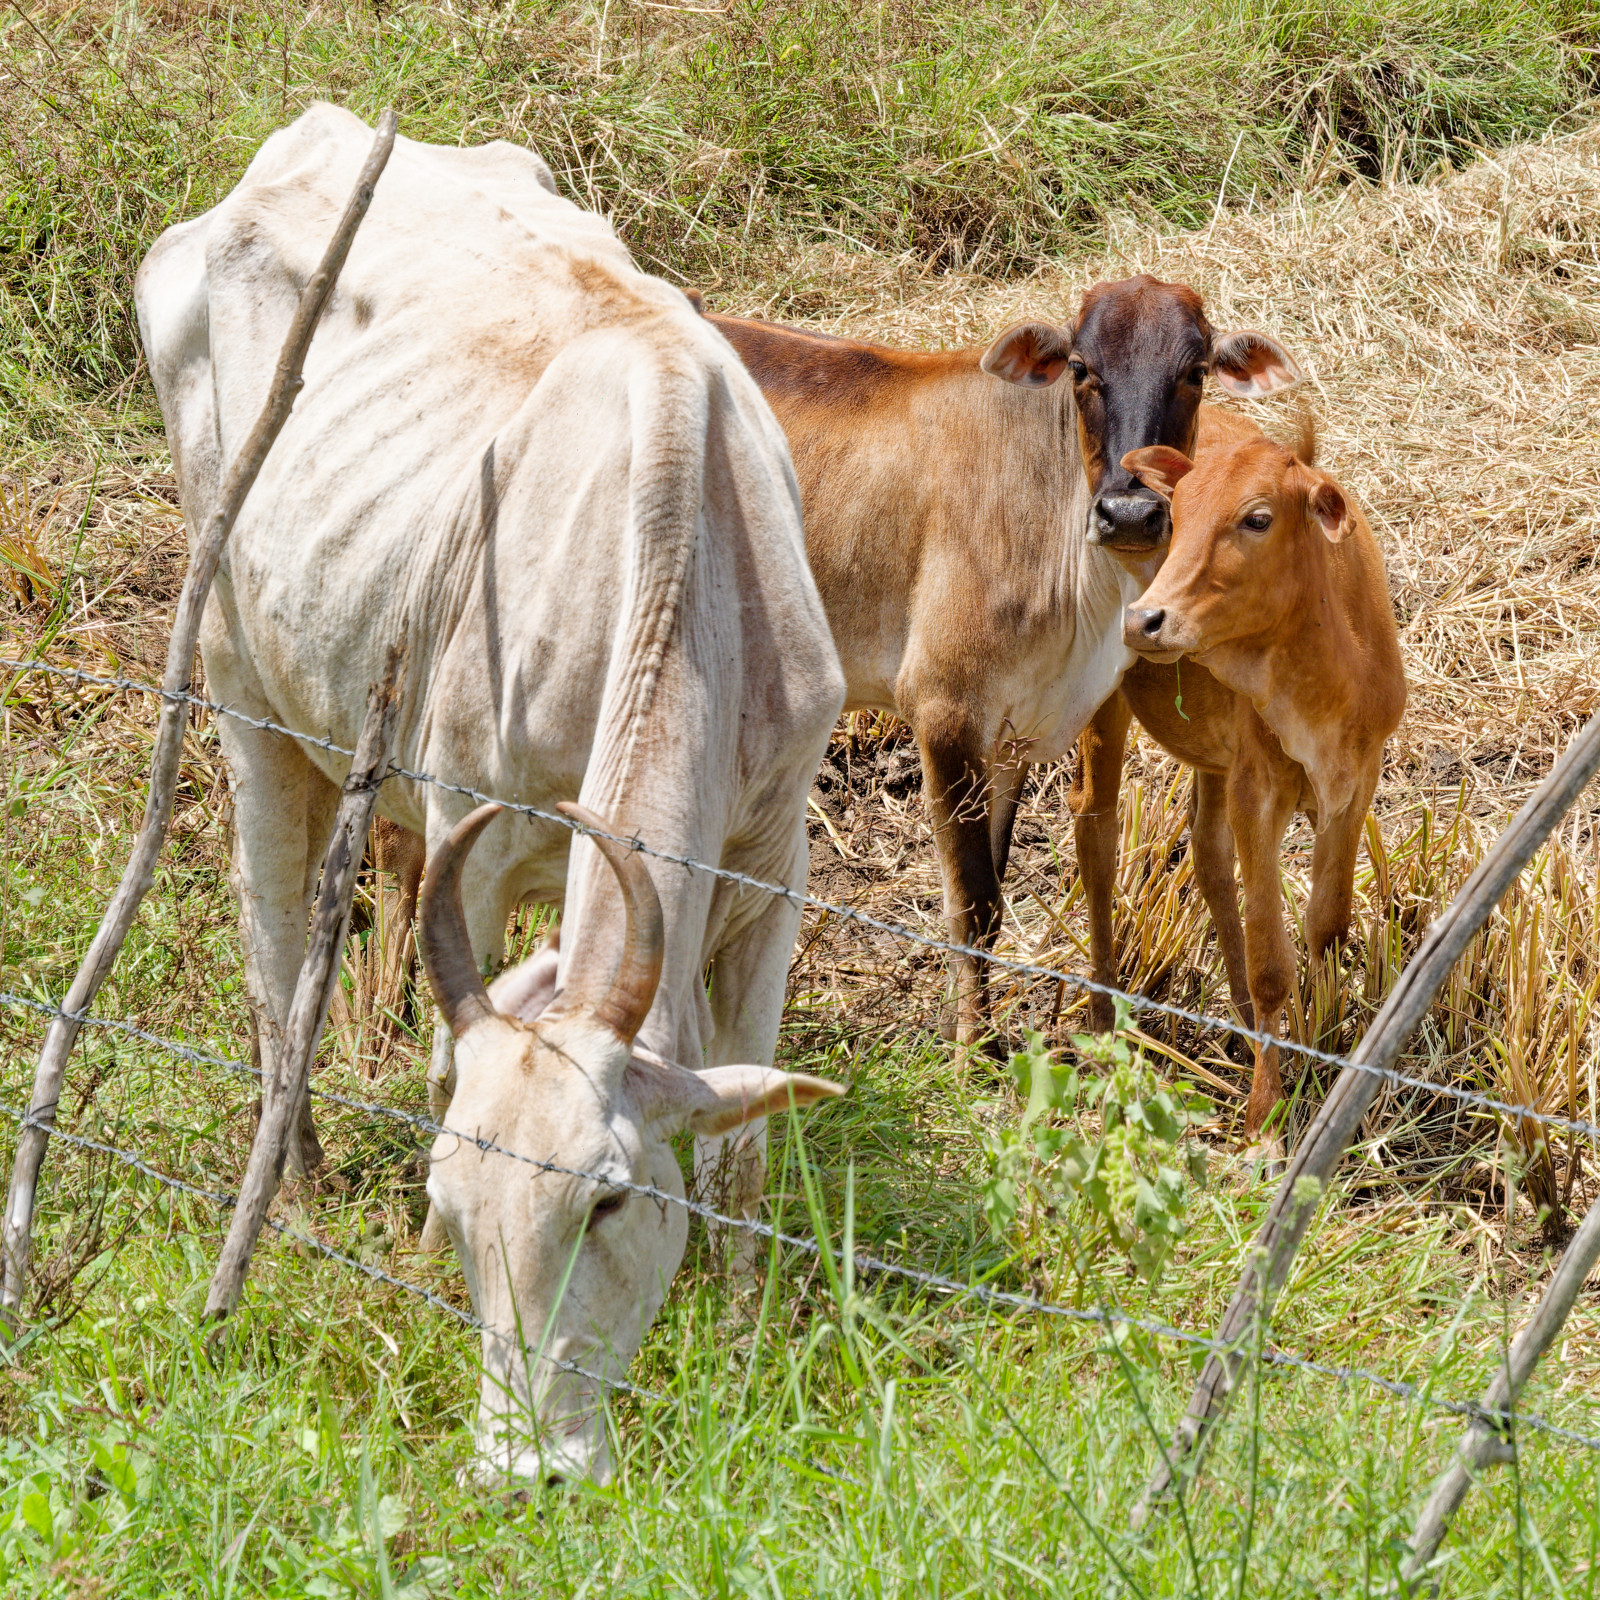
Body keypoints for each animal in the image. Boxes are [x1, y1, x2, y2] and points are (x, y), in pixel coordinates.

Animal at [135, 103, 846, 1483]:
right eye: (452, 1206)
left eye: (609, 1197)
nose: (529, 1468)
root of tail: (301, 137)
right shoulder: (479, 816)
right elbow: (438, 1065)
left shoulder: (775, 857)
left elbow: (741, 1140)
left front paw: (743, 1333)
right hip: (240, 690)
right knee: (272, 937)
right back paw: (295, 1180)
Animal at [705, 279, 1302, 1046]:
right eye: (1080, 368)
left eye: (1195, 372)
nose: (1130, 513)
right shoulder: (945, 713)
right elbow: (974, 902)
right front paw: (972, 1052)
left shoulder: (1017, 734)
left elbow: (996, 880)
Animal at [1103, 416, 1406, 1148]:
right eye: (1176, 517)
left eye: (1257, 519)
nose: (1145, 620)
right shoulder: (1257, 789)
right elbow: (1273, 962)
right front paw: (1266, 1117)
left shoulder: (1356, 781)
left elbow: (1328, 925)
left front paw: (1325, 1041)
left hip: (1214, 765)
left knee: (1208, 856)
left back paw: (1239, 1022)